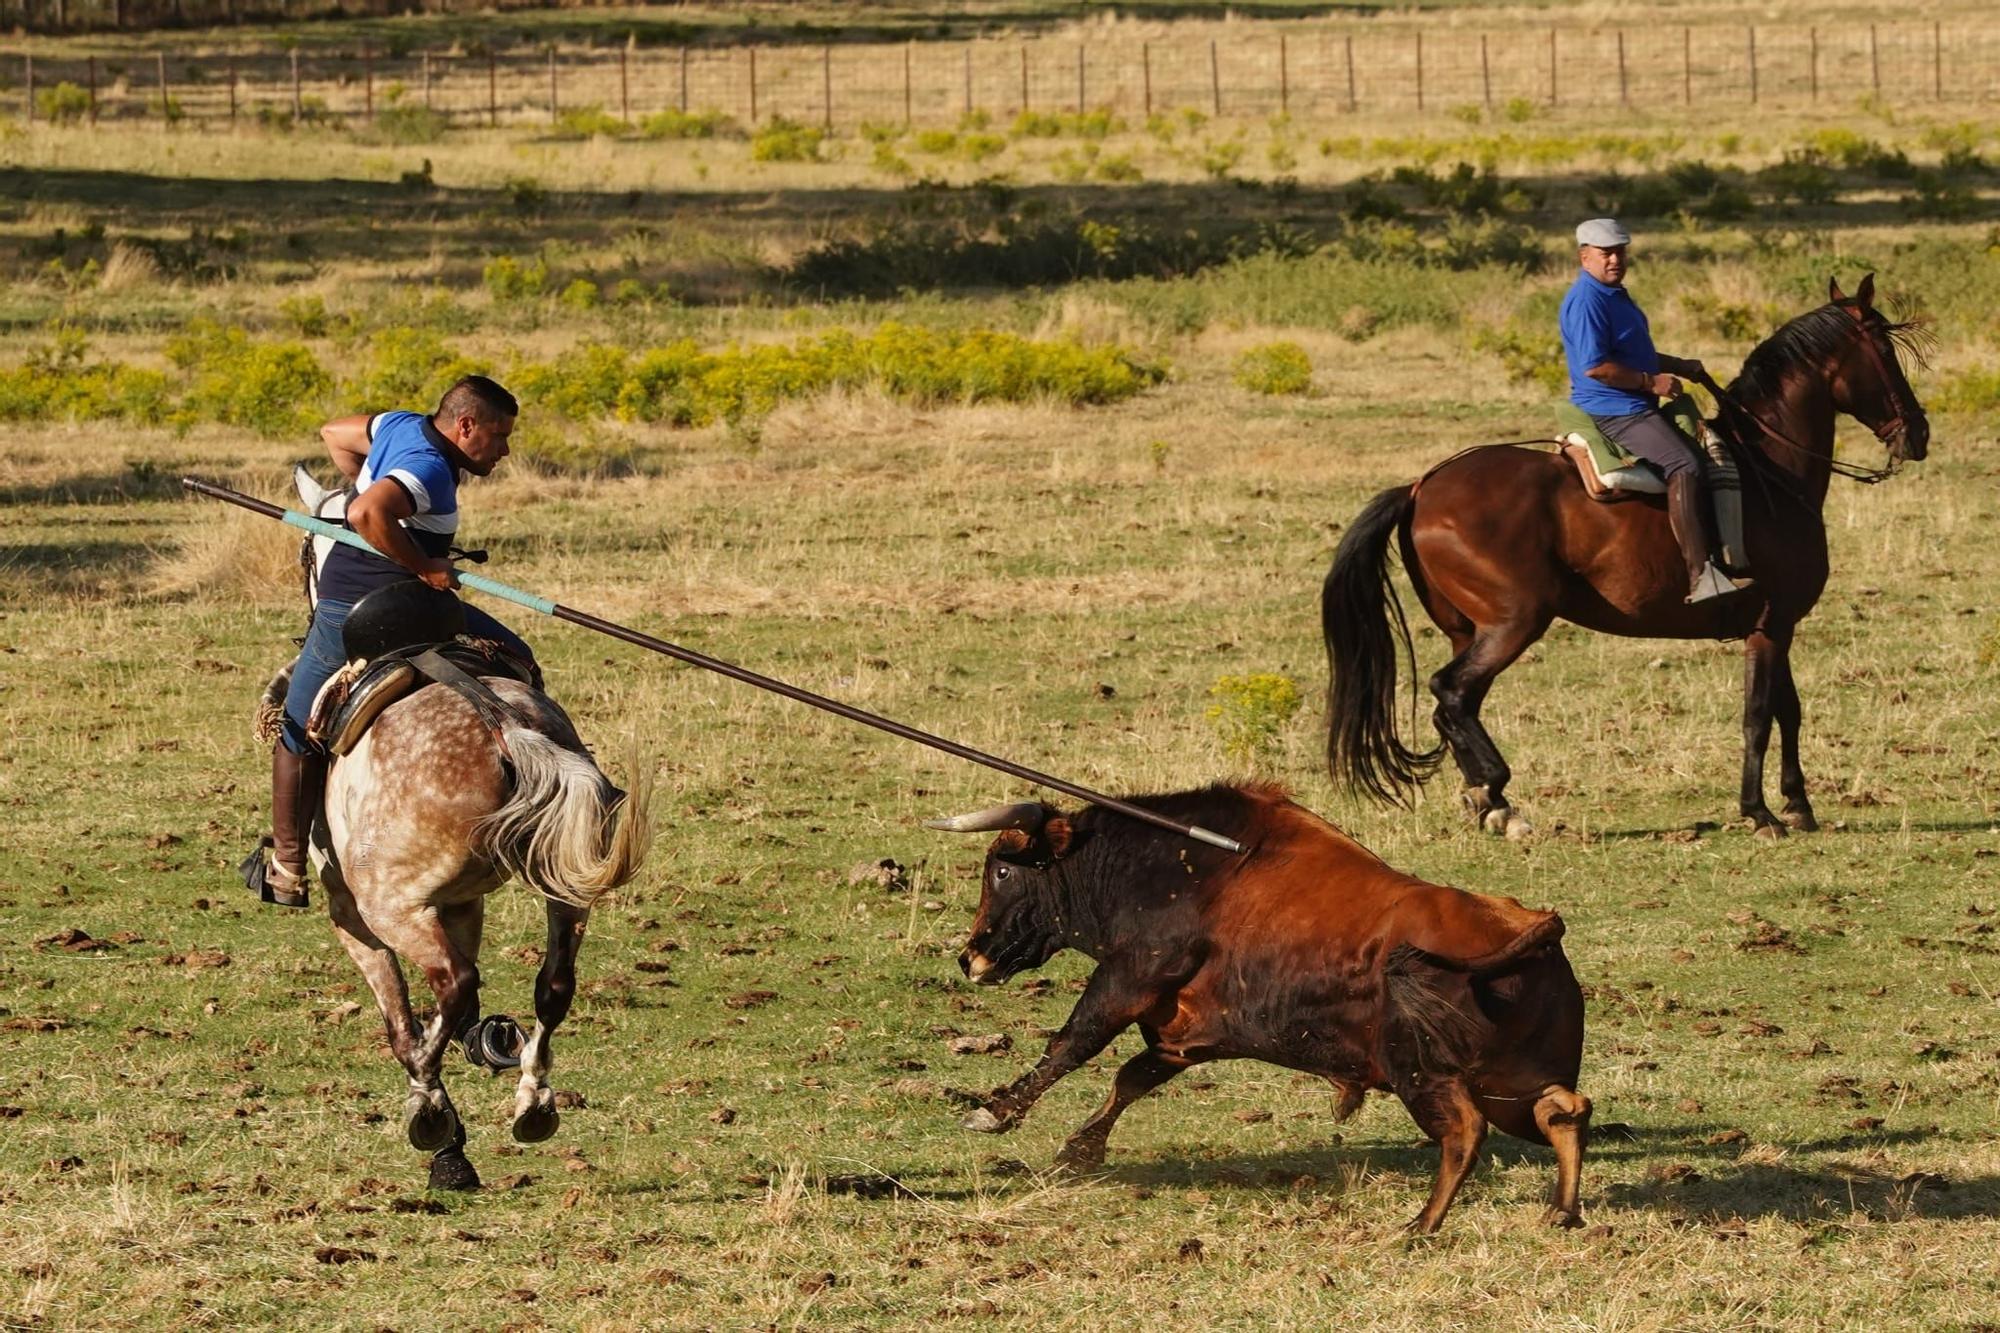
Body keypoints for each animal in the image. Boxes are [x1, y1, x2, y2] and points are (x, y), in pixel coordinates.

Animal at [924, 780, 1592, 1224]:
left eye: (1003, 870)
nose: (970, 958)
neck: (1168, 868)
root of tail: (1530, 927)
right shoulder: (1183, 1033)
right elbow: (1131, 1078)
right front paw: (1078, 1151)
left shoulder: (1128, 979)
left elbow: (1073, 1044)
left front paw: (997, 1111)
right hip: (1512, 1082)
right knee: (1564, 1111)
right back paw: (1559, 1211)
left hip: (1424, 1074)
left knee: (1466, 1133)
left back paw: (1421, 1226)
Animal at [1328, 276, 1920, 836]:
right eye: (1884, 352)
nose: (1919, 433)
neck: (1768, 471)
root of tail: (1421, 487)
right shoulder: (1771, 626)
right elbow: (1758, 715)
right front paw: (1760, 812)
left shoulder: (1778, 622)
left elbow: (1787, 710)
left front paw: (1798, 804)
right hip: (1515, 622)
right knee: (1450, 692)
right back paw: (1496, 790)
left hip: (1469, 628)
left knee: (1456, 704)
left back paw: (1489, 800)